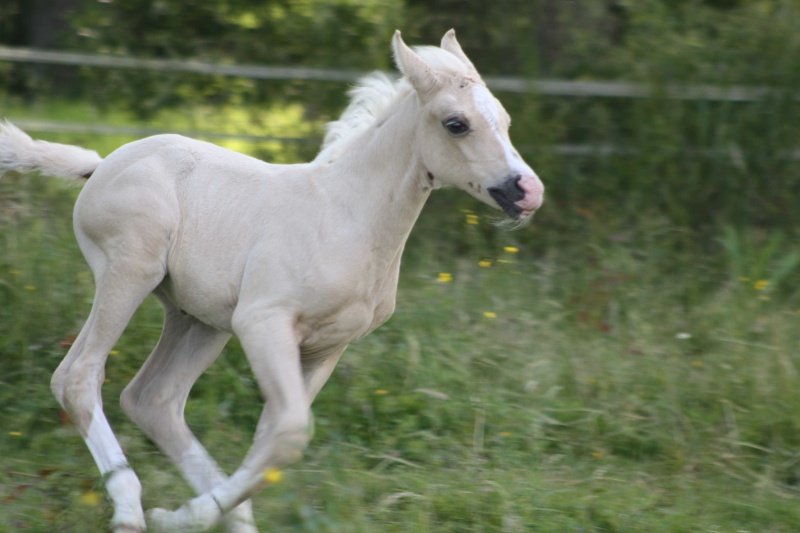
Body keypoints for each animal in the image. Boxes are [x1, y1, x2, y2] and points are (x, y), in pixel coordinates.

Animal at [0, 31, 544, 528]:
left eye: (506, 121)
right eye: (456, 124)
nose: (528, 191)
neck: (348, 217)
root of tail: (100, 165)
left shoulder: (327, 347)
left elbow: (272, 439)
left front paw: (188, 516)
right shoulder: (264, 323)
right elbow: (288, 434)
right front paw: (185, 515)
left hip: (198, 319)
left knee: (153, 399)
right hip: (130, 272)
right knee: (78, 376)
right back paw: (132, 509)